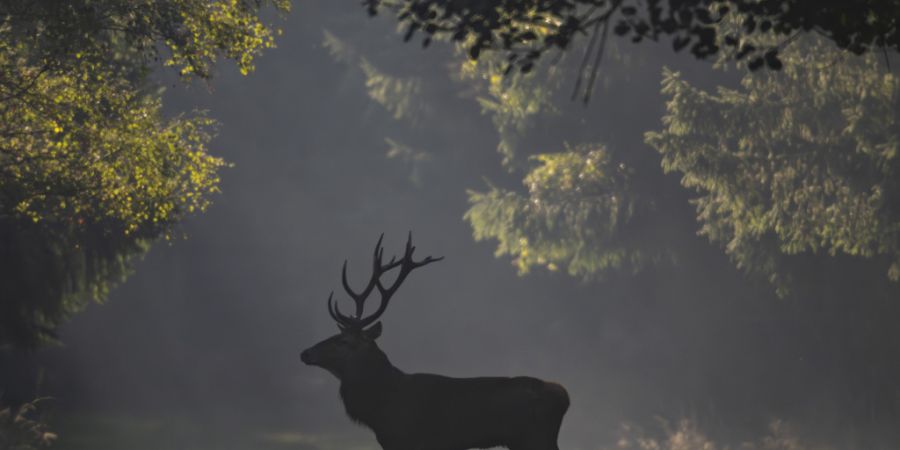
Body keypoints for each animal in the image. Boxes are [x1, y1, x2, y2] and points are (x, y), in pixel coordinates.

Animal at [300, 233, 570, 450]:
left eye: (344, 341)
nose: (305, 353)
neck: (382, 407)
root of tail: (564, 396)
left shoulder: (408, 440)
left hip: (534, 438)